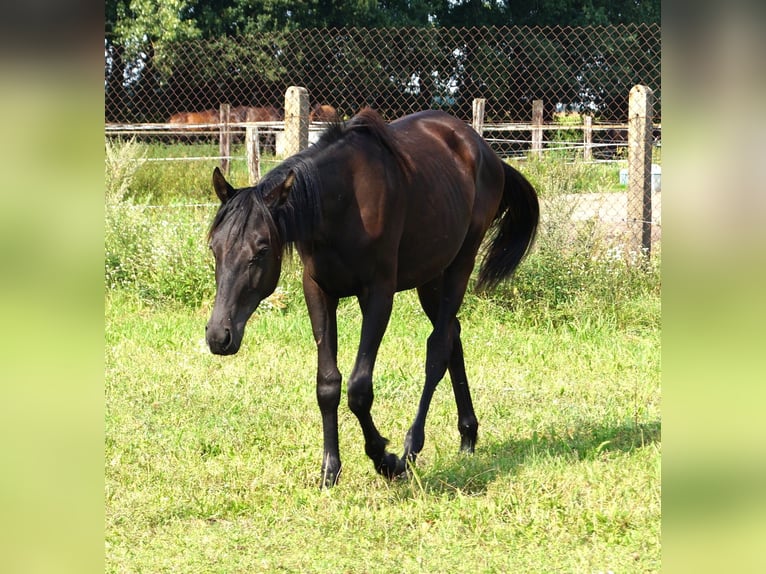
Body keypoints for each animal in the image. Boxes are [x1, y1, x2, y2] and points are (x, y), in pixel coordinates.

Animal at [204, 107, 540, 486]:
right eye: (214, 247)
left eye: (261, 250)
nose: (218, 336)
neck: (341, 204)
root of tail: (486, 151)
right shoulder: (318, 291)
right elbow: (328, 385)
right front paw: (330, 469)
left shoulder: (378, 293)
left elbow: (359, 389)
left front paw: (384, 458)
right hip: (430, 278)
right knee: (452, 336)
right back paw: (467, 436)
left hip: (459, 265)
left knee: (438, 348)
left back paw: (411, 449)